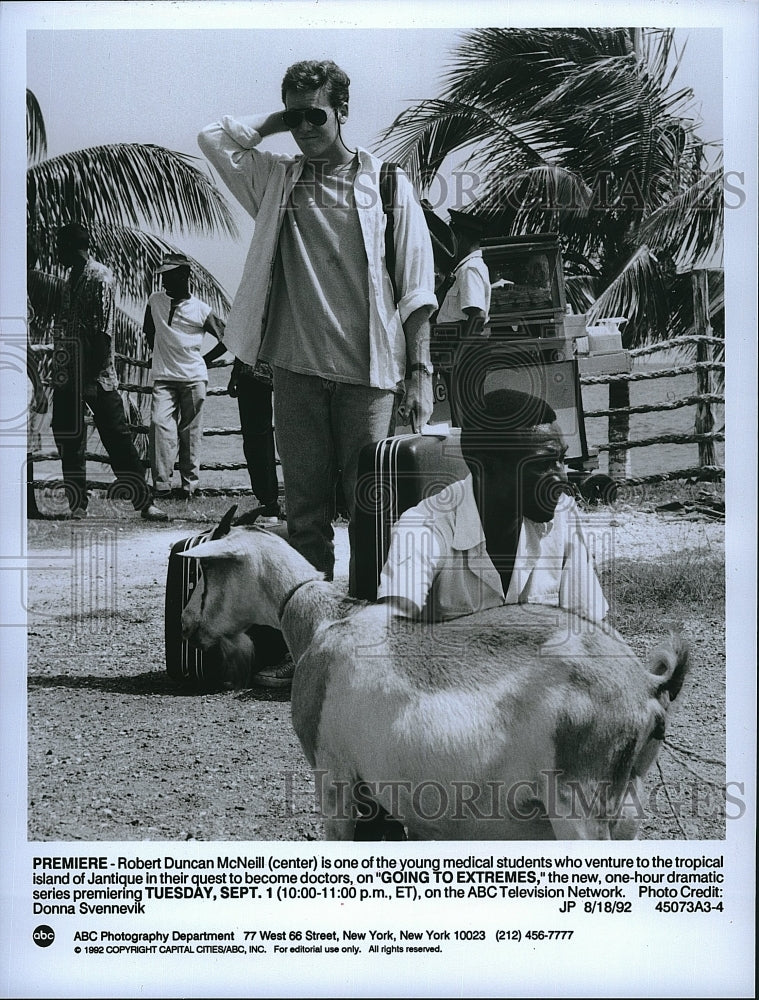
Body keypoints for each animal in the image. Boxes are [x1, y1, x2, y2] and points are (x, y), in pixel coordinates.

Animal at [183, 528, 688, 840]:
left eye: (205, 571)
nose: (187, 624)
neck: (326, 622)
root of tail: (645, 683)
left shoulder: (335, 775)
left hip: (577, 808)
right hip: (625, 812)